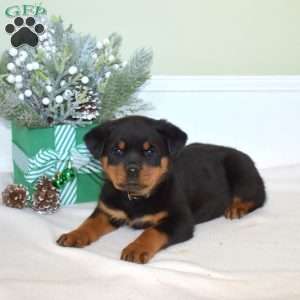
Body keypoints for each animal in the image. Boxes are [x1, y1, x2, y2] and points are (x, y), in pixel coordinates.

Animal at [57, 116, 266, 264]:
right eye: (117, 150)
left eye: (150, 151)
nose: (132, 169)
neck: (135, 198)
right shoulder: (108, 210)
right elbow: (90, 223)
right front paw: (74, 235)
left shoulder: (181, 220)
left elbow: (153, 231)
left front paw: (136, 249)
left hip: (240, 169)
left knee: (258, 196)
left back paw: (237, 208)